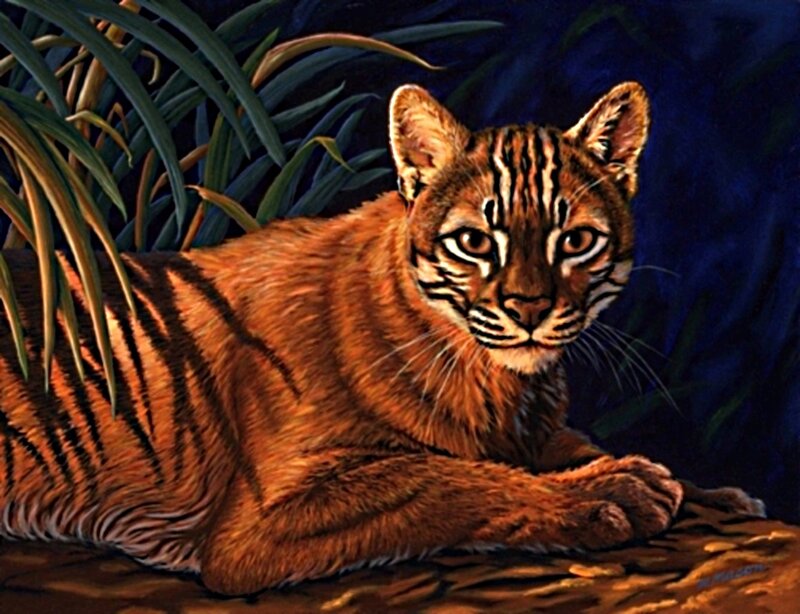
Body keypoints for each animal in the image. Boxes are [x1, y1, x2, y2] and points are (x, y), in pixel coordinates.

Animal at [0, 82, 765, 595]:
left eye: (575, 240)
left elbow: (554, 446)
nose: (527, 309)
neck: (495, 380)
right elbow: (438, 476)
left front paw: (708, 493)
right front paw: (612, 492)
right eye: (474, 242)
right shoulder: (261, 519)